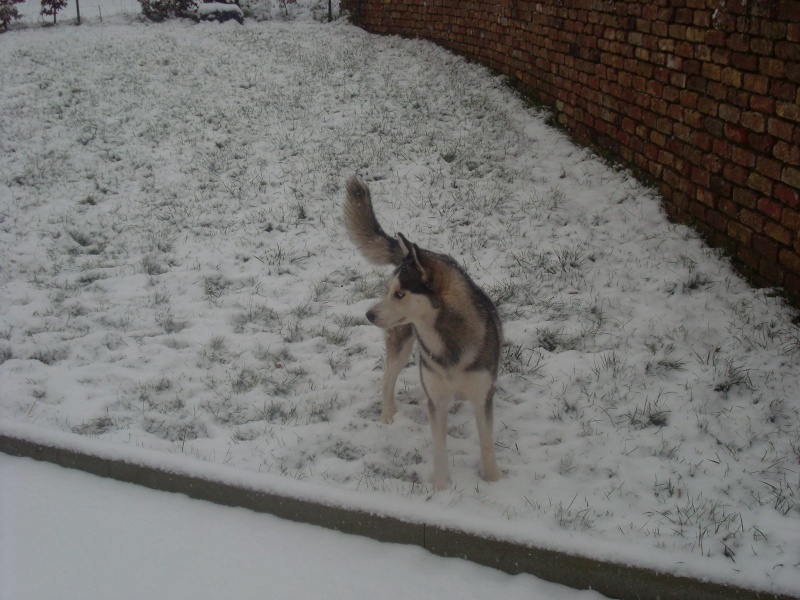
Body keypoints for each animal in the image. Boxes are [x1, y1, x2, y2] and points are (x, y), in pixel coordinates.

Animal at [344, 177, 500, 488]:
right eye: (391, 291)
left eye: (400, 293)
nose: (369, 315)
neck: (447, 342)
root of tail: (421, 248)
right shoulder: (435, 399)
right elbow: (439, 449)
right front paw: (441, 488)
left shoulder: (483, 397)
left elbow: (487, 444)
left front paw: (494, 481)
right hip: (402, 343)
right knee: (387, 378)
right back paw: (388, 414)